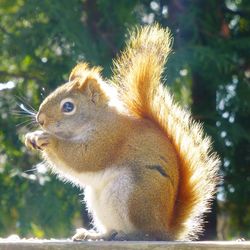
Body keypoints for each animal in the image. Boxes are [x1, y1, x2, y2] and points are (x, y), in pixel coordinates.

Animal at [24, 24, 219, 240]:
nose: (40, 120)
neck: (96, 120)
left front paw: (49, 139)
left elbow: (84, 158)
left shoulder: (110, 138)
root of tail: (164, 229)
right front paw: (31, 137)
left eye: (68, 107)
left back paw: (130, 236)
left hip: (133, 195)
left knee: (143, 233)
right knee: (111, 230)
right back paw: (95, 235)